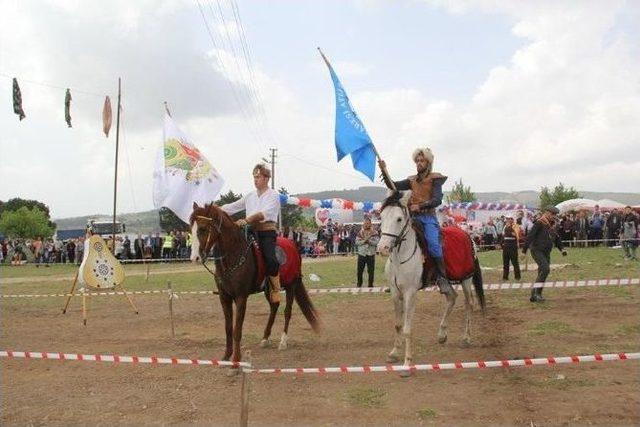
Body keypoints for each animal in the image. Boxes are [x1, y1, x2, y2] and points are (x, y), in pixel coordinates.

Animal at [189, 203, 320, 364]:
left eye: (202, 228)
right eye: (191, 228)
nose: (194, 257)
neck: (234, 254)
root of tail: (292, 244)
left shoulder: (241, 297)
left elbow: (237, 330)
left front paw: (236, 359)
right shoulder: (224, 297)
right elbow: (228, 328)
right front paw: (226, 356)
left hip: (291, 285)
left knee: (287, 311)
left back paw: (283, 341)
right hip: (269, 289)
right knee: (274, 307)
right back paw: (265, 338)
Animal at [376, 191, 484, 374]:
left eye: (399, 219)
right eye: (382, 217)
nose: (382, 248)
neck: (400, 257)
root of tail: (467, 235)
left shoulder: (410, 293)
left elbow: (407, 329)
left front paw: (407, 362)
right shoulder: (395, 293)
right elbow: (398, 325)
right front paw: (394, 353)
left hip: (466, 279)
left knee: (469, 303)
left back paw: (466, 338)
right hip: (445, 281)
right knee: (451, 298)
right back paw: (442, 335)